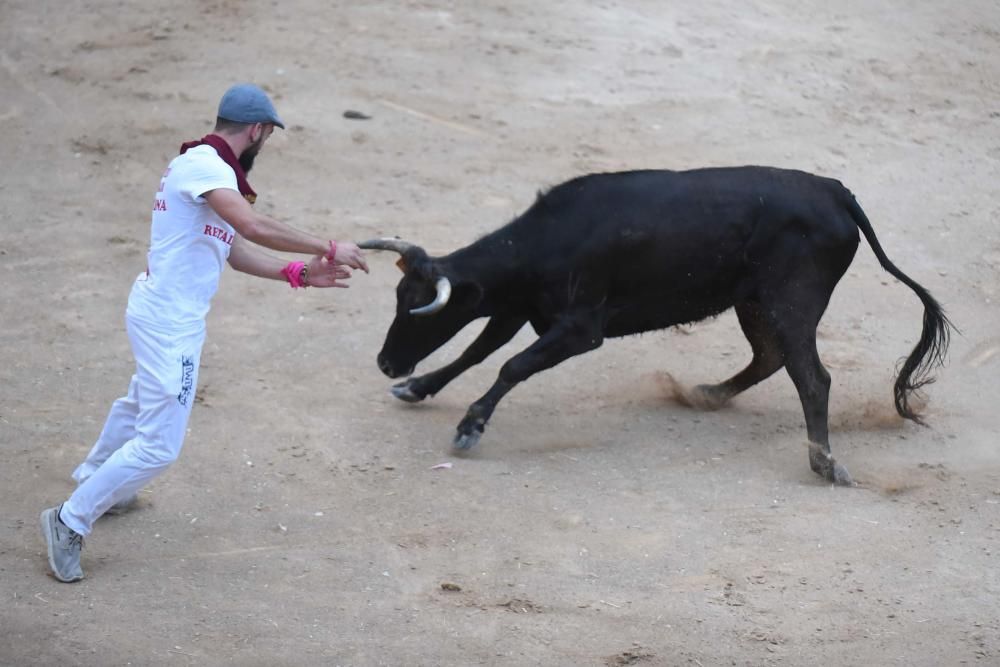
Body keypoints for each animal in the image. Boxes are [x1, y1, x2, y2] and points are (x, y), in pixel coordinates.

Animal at [362, 167, 952, 486]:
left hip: (792, 302)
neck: (548, 239)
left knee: (811, 377)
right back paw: (707, 394)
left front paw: (470, 426)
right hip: (755, 303)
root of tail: (835, 191)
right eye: (397, 296)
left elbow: (510, 365)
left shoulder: (579, 330)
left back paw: (825, 464)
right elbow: (476, 353)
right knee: (770, 357)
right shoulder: (519, 309)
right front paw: (416, 387)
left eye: (420, 308)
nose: (386, 362)